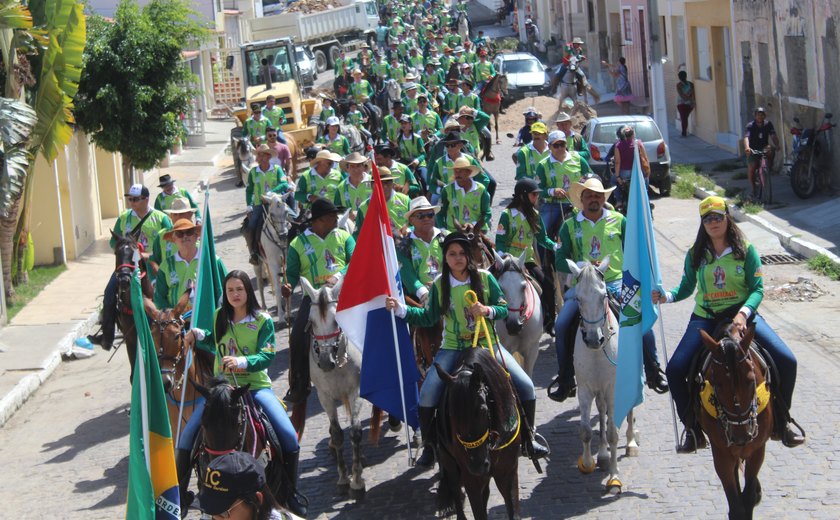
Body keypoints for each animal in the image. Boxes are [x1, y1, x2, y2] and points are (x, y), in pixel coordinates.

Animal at [290, 278, 366, 498]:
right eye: (311, 322)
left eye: (336, 321)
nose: (325, 362)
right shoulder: (325, 396)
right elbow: (337, 433)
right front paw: (343, 479)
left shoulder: (356, 390)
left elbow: (355, 431)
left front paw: (357, 482)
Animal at [434, 346, 520, 520]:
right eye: (451, 413)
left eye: (482, 410)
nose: (477, 465)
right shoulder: (471, 479)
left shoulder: (508, 471)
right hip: (449, 462)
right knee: (455, 489)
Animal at [568, 256, 640, 496]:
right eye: (578, 298)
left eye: (603, 296)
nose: (593, 339)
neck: (598, 353)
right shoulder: (585, 390)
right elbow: (586, 431)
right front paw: (589, 462)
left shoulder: (613, 390)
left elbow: (612, 433)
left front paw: (614, 478)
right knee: (601, 413)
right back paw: (602, 454)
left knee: (628, 410)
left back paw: (631, 442)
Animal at [696, 324, 776, 520]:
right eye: (717, 383)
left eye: (750, 380)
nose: (741, 437)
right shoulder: (721, 453)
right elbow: (736, 506)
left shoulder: (757, 450)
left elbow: (747, 499)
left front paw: (754, 493)